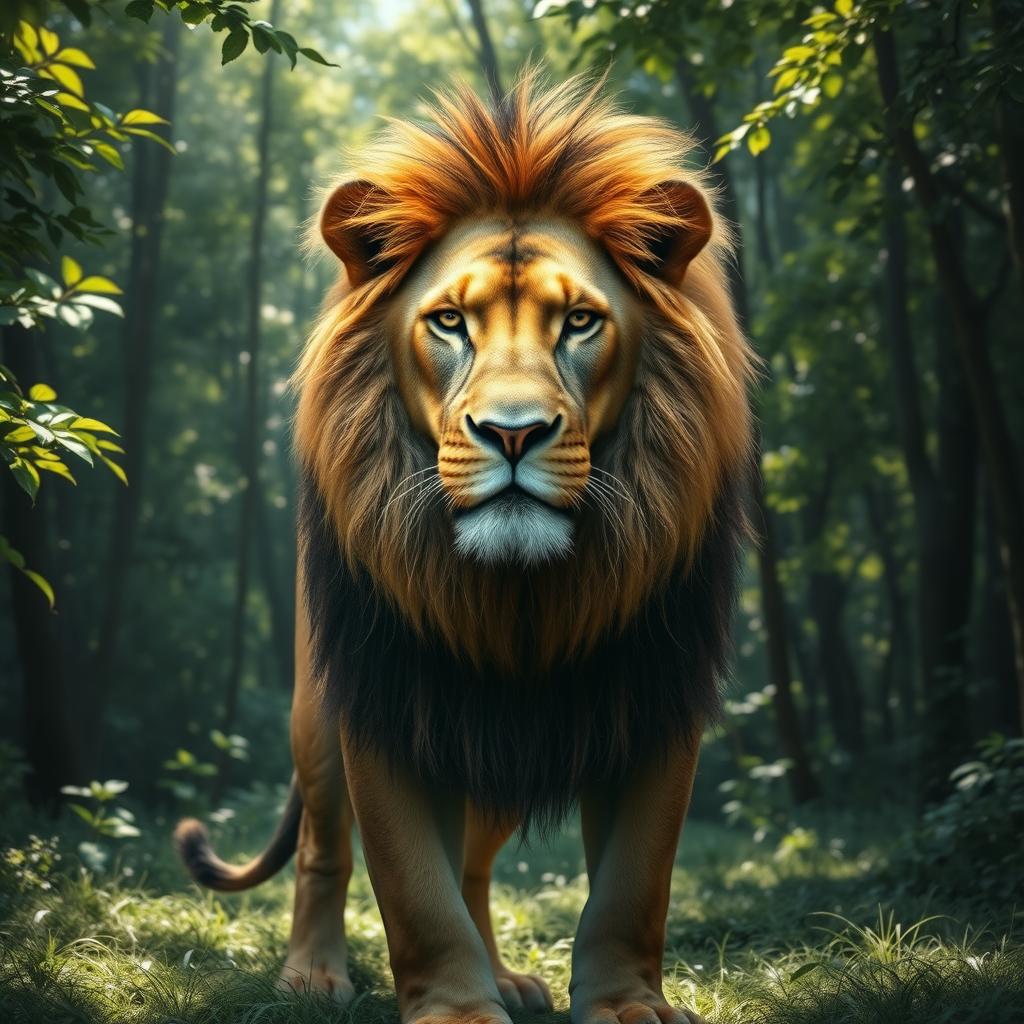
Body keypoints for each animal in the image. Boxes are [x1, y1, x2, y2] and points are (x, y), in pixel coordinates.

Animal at [174, 71, 753, 1024]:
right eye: (448, 322)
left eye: (580, 322)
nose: (512, 433)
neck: (519, 600)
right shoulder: (384, 694)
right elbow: (415, 889)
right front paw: (454, 1006)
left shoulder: (656, 693)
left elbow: (634, 884)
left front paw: (625, 1003)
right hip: (317, 714)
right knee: (325, 850)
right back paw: (312, 976)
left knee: (477, 867)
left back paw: (506, 976)